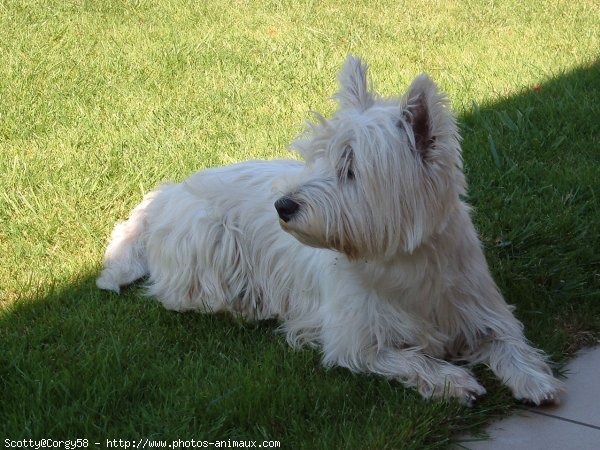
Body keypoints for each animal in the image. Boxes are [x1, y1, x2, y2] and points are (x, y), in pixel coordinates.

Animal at [97, 55, 564, 404]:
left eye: (350, 168)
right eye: (317, 158)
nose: (282, 206)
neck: (404, 262)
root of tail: (166, 195)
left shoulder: (481, 309)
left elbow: (510, 343)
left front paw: (537, 381)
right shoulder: (355, 340)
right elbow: (411, 359)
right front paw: (455, 380)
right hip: (209, 240)